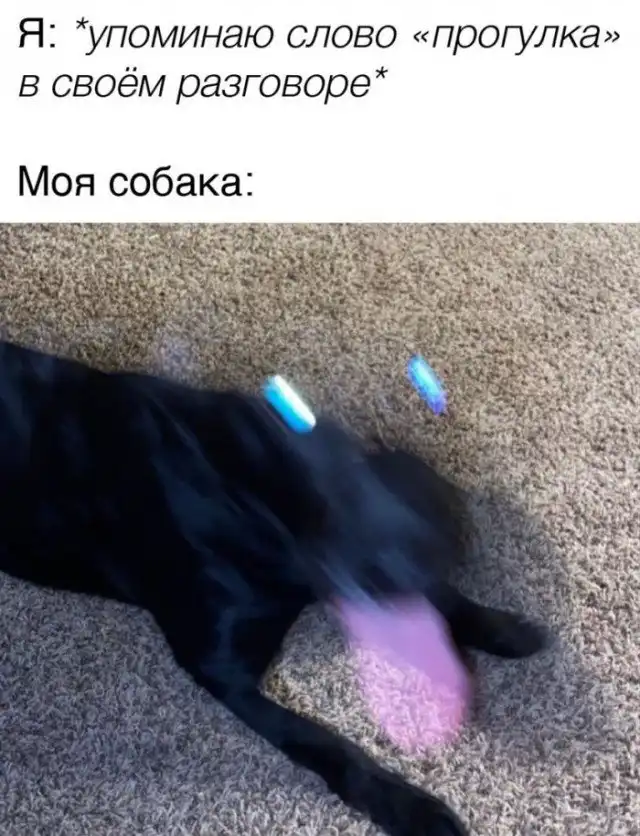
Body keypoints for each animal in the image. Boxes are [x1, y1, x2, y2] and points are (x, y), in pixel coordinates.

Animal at [0, 339, 548, 835]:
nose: (452, 535)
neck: (252, 494)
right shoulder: (223, 671)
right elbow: (321, 742)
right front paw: (407, 808)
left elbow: (444, 605)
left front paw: (500, 627)